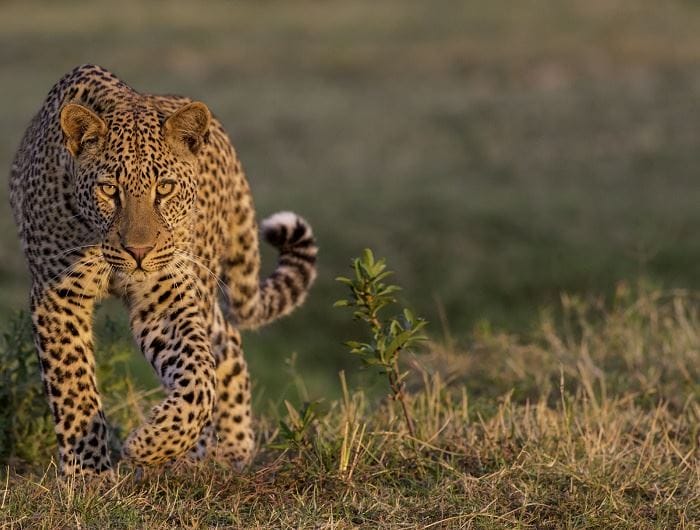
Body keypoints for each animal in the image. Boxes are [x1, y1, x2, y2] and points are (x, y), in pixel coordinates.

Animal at [8, 65, 318, 474]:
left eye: (166, 188)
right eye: (109, 190)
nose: (139, 251)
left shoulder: (164, 295)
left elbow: (199, 375)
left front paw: (152, 444)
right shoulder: (58, 294)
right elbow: (73, 386)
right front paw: (89, 472)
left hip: (201, 276)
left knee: (224, 346)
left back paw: (222, 452)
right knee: (227, 342)